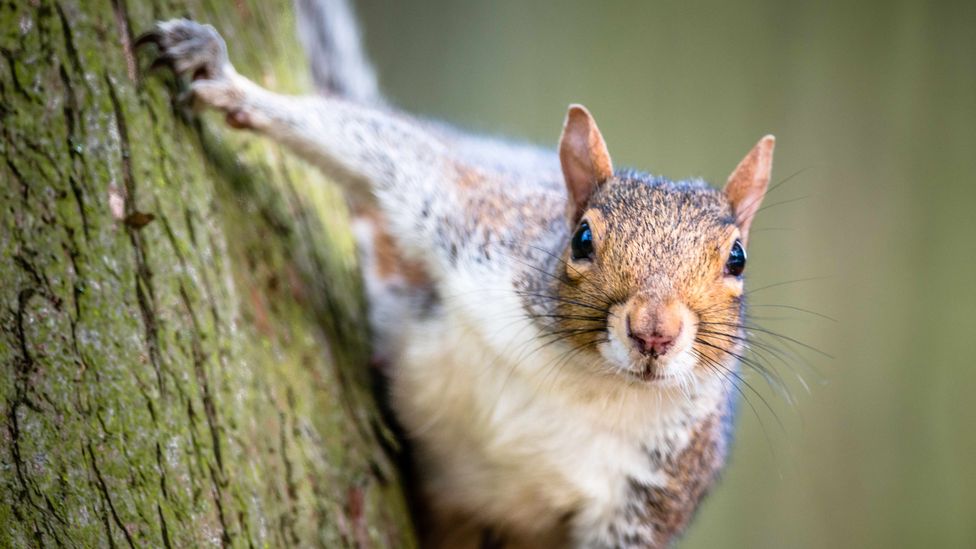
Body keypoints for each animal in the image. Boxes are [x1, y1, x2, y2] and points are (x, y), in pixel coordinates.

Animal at [139, 3, 776, 544]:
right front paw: (224, 78)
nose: (653, 333)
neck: (586, 379)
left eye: (737, 259)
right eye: (582, 239)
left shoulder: (652, 502)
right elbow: (387, 153)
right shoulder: (473, 222)